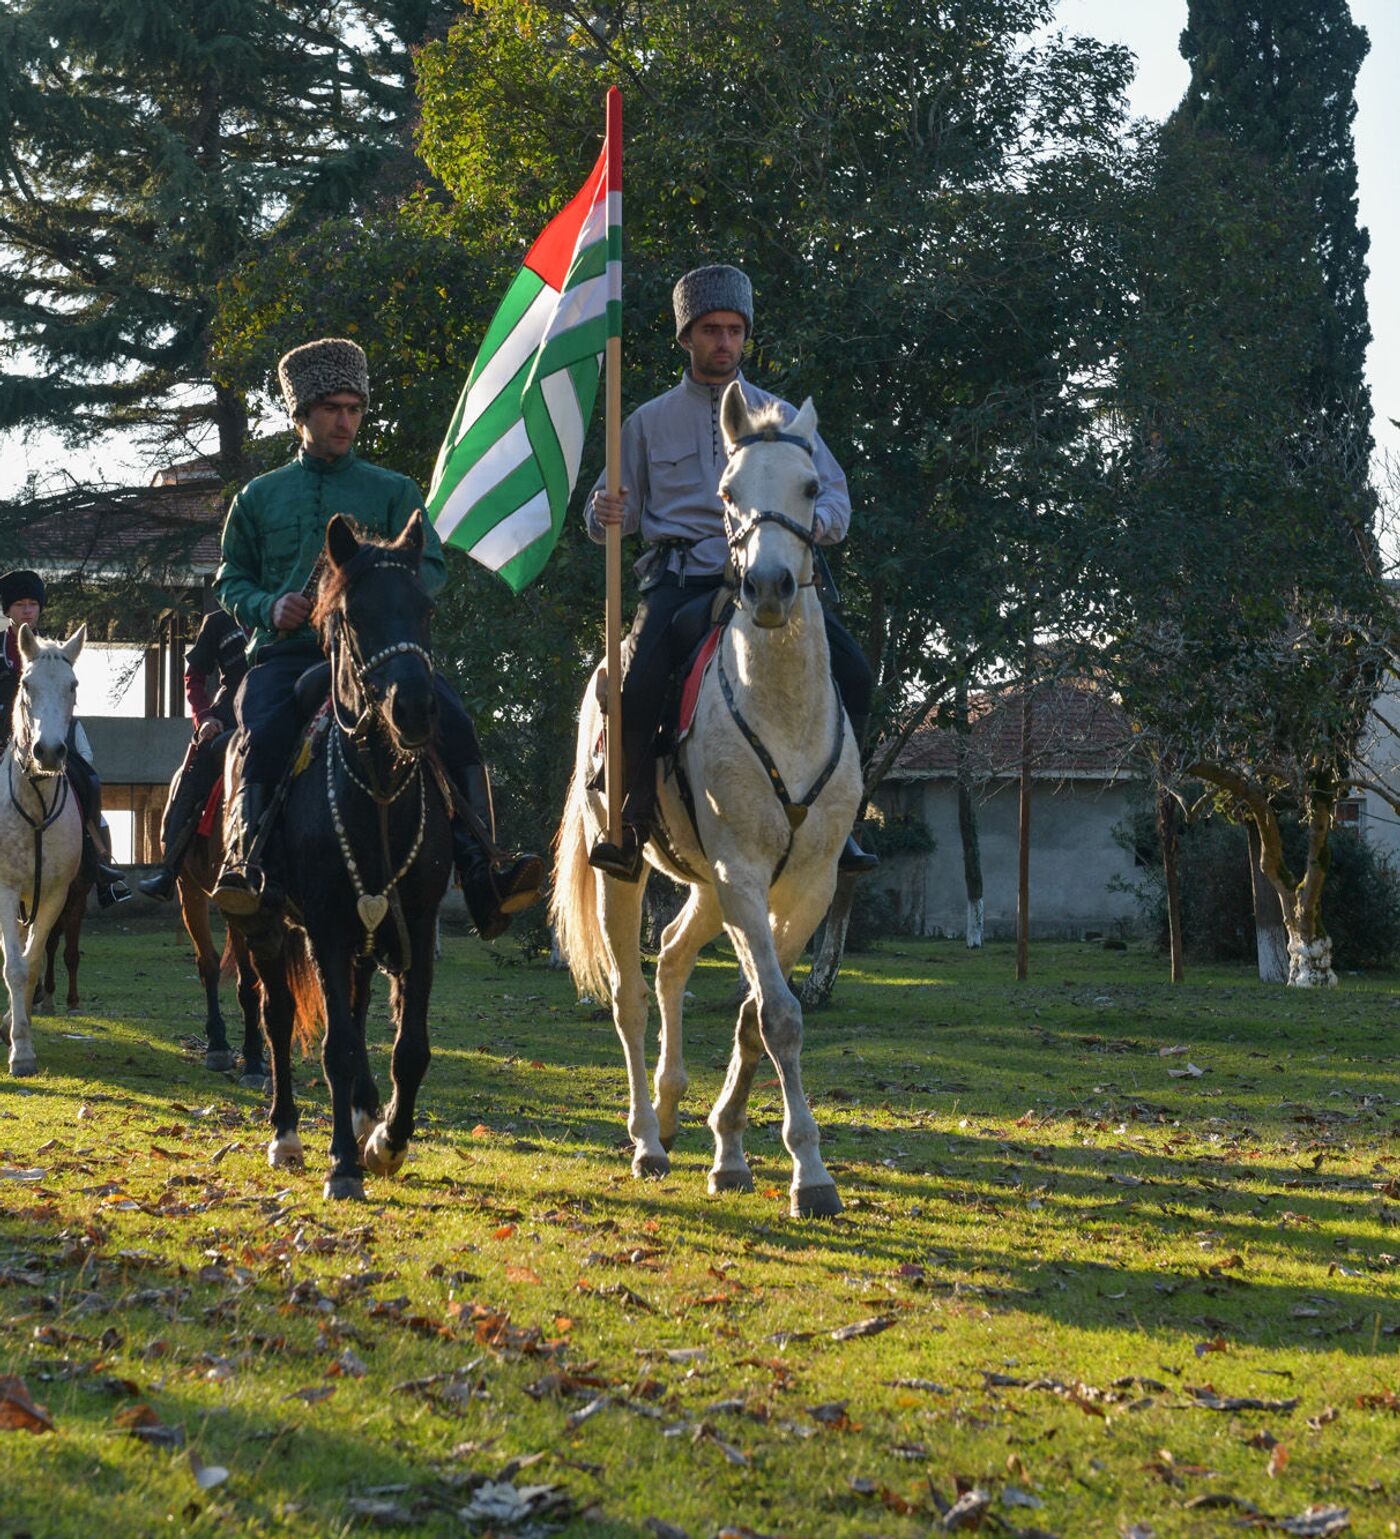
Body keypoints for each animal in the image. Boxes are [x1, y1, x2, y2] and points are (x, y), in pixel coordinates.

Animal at [550, 381, 861, 1212]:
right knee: (629, 994)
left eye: (811, 487)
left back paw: (669, 1108)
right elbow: (778, 1013)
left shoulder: (806, 885)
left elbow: (757, 1014)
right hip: (627, 872)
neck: (781, 708)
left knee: (670, 961)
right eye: (727, 493)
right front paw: (809, 1172)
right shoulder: (744, 877)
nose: (769, 588)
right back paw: (646, 1140)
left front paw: (731, 1150)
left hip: (707, 890)